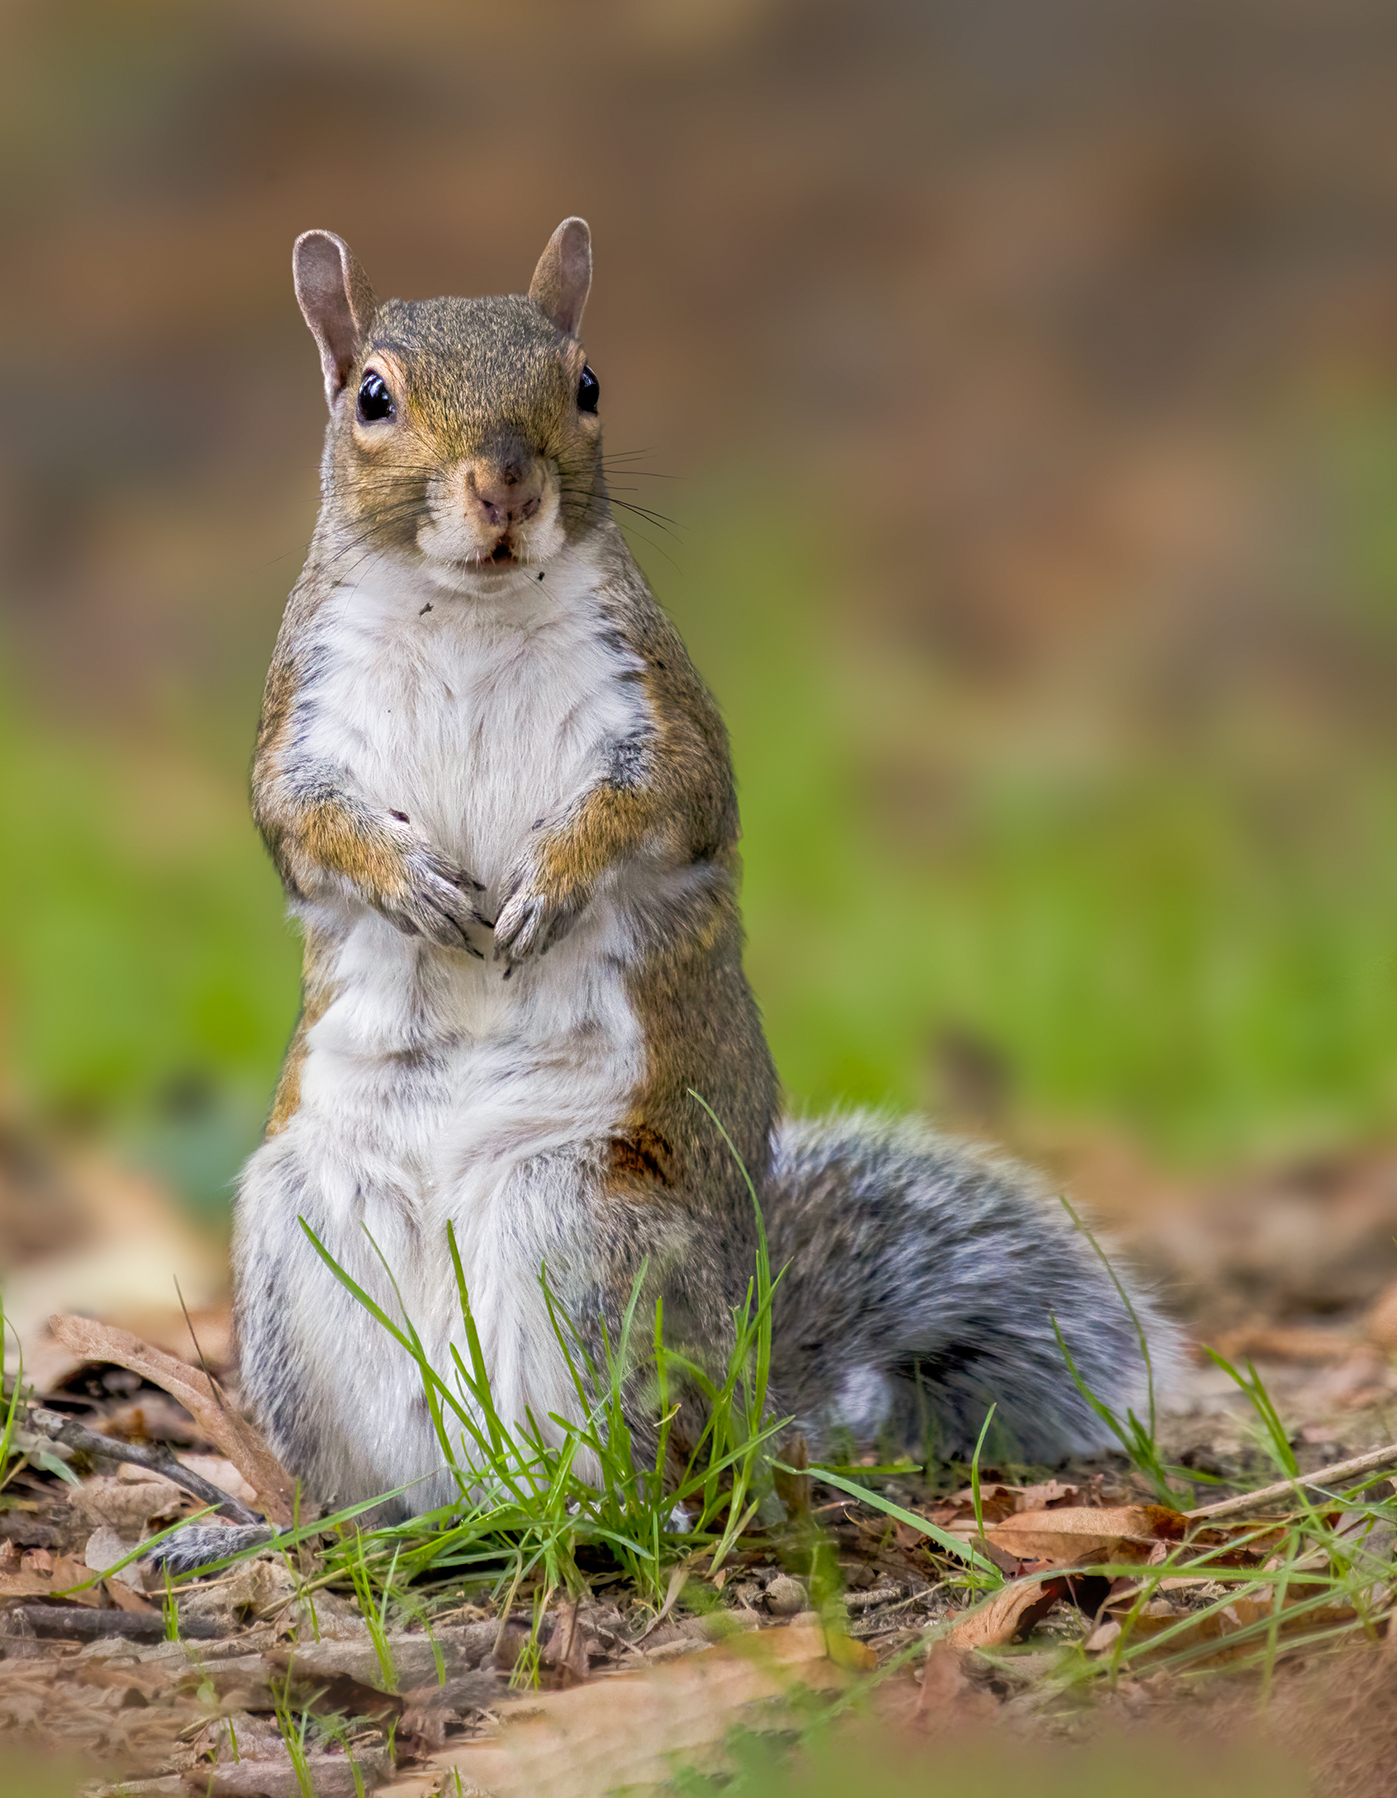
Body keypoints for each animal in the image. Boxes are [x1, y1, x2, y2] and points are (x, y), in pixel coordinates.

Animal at [157, 220, 1178, 1569]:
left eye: (587, 383)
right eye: (371, 398)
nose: (505, 487)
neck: (465, 610)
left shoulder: (664, 717)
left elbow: (655, 807)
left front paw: (546, 885)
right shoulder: (300, 724)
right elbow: (300, 823)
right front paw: (411, 884)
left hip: (586, 1242)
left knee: (628, 1470)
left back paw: (585, 1510)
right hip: (297, 1247)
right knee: (359, 1495)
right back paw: (284, 1533)